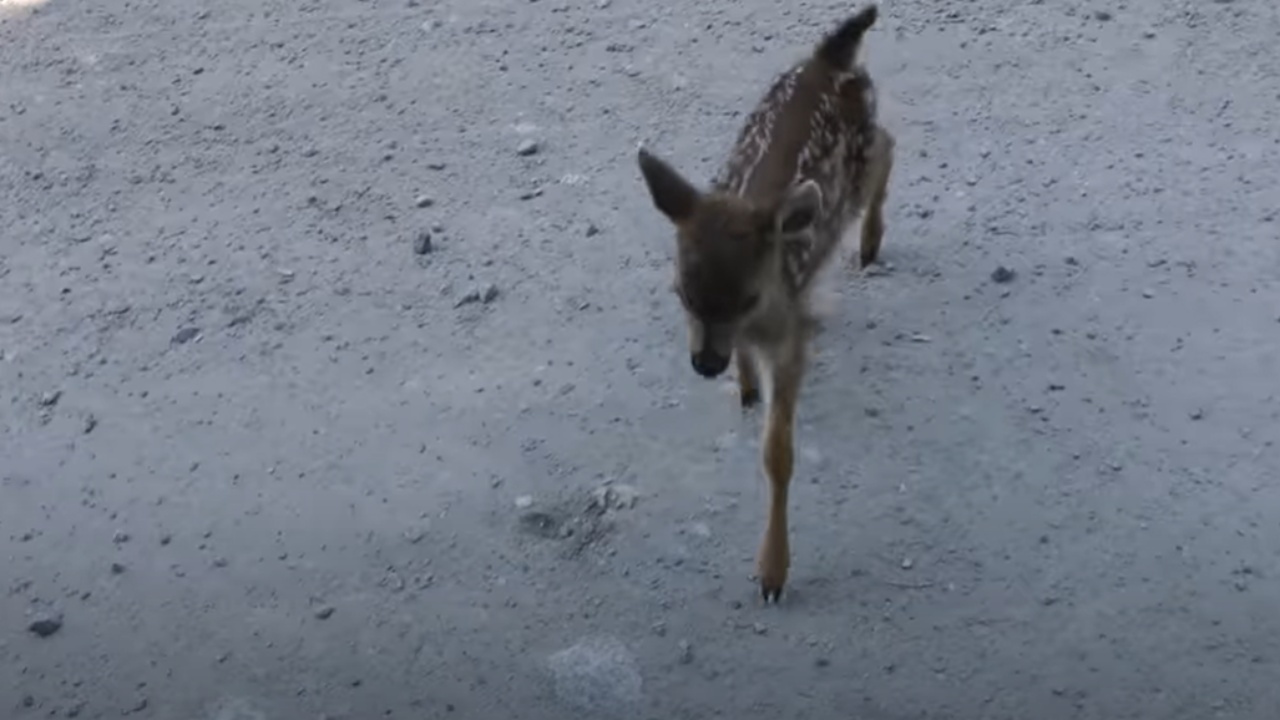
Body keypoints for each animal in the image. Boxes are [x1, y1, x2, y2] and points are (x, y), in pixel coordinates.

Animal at [634, 4, 896, 599]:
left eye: (748, 296)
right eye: (681, 291)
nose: (706, 365)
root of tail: (829, 55)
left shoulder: (792, 338)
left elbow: (778, 455)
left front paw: (772, 572)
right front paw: (746, 383)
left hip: (860, 157)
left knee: (889, 145)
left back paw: (870, 242)